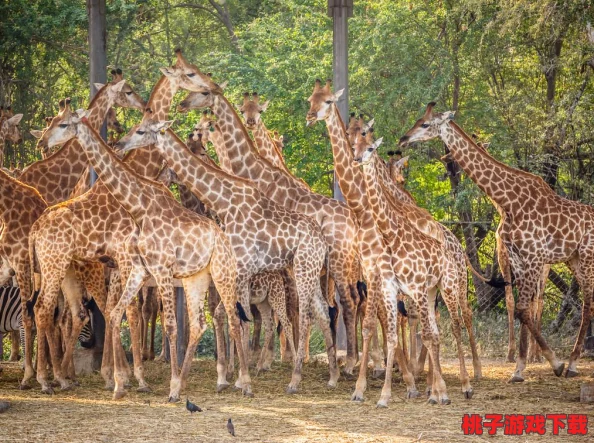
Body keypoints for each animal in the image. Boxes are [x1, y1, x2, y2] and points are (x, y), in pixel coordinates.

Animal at [35, 98, 250, 402]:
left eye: (63, 124)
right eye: (53, 121)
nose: (41, 141)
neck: (140, 207)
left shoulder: (154, 268)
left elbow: (160, 321)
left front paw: (152, 382)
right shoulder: (138, 267)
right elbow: (118, 313)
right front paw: (121, 382)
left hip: (221, 273)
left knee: (231, 318)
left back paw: (242, 382)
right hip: (194, 278)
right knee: (200, 324)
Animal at [113, 112, 336, 396]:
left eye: (141, 131)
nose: (120, 144)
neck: (223, 203)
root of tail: (322, 241)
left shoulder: (239, 269)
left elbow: (237, 318)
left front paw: (237, 377)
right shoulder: (231, 272)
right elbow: (228, 316)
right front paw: (228, 376)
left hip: (302, 270)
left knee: (305, 313)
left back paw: (295, 378)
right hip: (309, 269)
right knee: (322, 309)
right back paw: (332, 376)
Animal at [171, 73, 356, 378]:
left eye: (328, 100)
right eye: (310, 99)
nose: (183, 108)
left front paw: (262, 361)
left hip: (339, 264)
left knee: (350, 304)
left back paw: (352, 364)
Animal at [306, 79, 420, 406]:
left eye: (328, 101)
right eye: (310, 98)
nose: (310, 116)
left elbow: (374, 316)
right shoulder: (367, 273)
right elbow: (372, 317)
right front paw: (367, 374)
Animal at [398, 103, 592, 382]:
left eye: (425, 124)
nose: (403, 139)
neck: (507, 201)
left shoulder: (534, 257)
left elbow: (523, 308)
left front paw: (554, 363)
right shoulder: (519, 258)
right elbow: (521, 309)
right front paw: (520, 368)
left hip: (586, 257)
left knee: (587, 304)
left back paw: (573, 364)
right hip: (574, 260)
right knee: (588, 303)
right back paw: (572, 361)